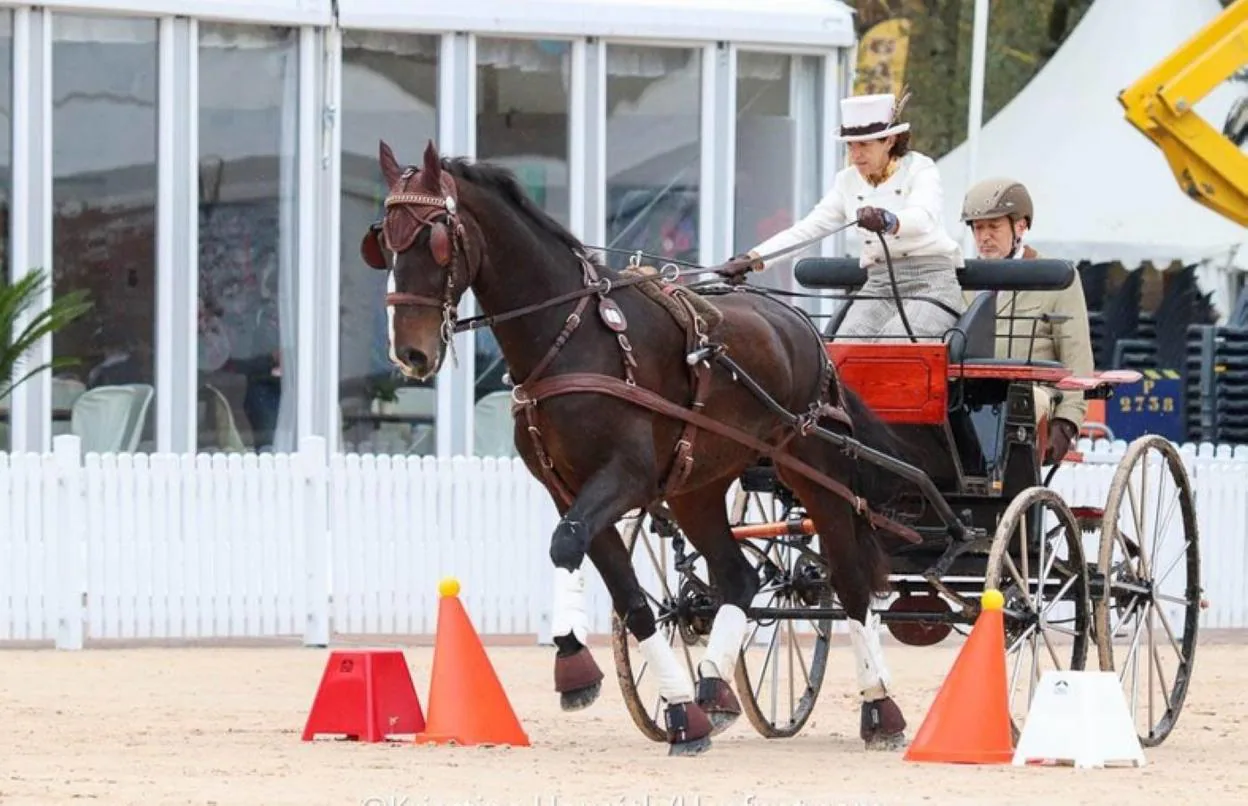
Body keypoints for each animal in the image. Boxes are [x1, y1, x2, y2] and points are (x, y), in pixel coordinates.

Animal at [361, 139, 938, 758]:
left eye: (436, 238)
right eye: (384, 240)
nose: (410, 353)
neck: (571, 335)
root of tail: (802, 324)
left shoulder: (626, 478)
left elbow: (565, 547)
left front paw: (574, 662)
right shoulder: (568, 488)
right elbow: (628, 595)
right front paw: (681, 711)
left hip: (813, 466)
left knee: (849, 581)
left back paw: (881, 709)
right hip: (696, 485)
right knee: (739, 577)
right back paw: (713, 686)